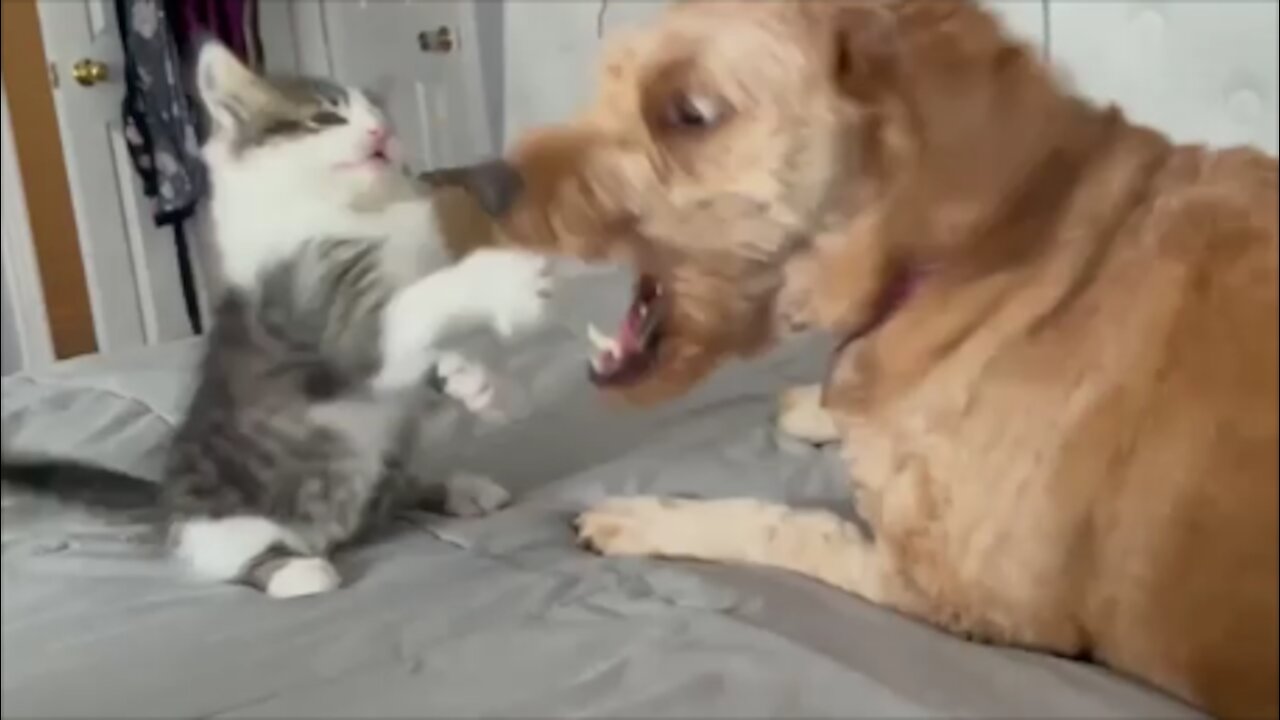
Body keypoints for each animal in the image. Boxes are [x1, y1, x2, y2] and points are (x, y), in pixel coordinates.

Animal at [5, 41, 555, 597]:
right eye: (327, 117)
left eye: (383, 119)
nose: (381, 134)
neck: (361, 216)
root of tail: (163, 499)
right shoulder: (331, 320)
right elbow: (420, 300)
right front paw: (502, 280)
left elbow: (431, 350)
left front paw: (487, 386)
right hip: (221, 521)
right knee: (231, 554)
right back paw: (296, 570)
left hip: (387, 466)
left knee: (395, 495)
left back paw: (459, 489)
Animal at [445, 0, 1274, 712]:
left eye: (689, 113)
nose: (467, 182)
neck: (961, 255)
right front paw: (815, 407)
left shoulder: (959, 596)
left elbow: (783, 523)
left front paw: (648, 516)